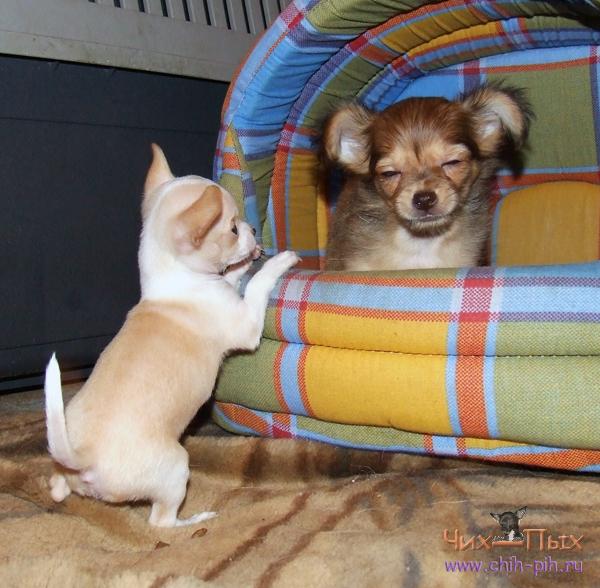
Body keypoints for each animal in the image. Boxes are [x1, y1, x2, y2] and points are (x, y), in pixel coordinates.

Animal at [45, 144, 299, 527]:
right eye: (232, 228)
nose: (254, 228)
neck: (174, 283)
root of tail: (82, 457)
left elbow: (231, 277)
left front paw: (243, 265)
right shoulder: (245, 324)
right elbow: (255, 286)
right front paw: (274, 262)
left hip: (64, 469)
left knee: (56, 487)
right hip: (177, 467)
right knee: (160, 523)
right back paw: (196, 520)